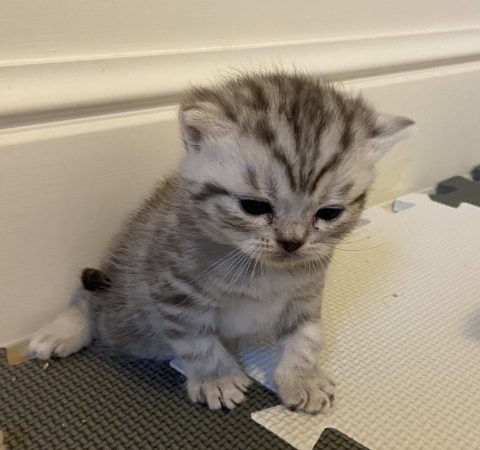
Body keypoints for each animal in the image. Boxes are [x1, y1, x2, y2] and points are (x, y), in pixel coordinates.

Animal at [28, 69, 414, 412]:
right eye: (254, 207)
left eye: (329, 213)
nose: (292, 242)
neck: (262, 270)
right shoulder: (173, 293)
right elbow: (197, 343)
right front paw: (217, 379)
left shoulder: (307, 293)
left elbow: (306, 337)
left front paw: (302, 377)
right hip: (128, 315)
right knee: (94, 303)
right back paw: (61, 332)